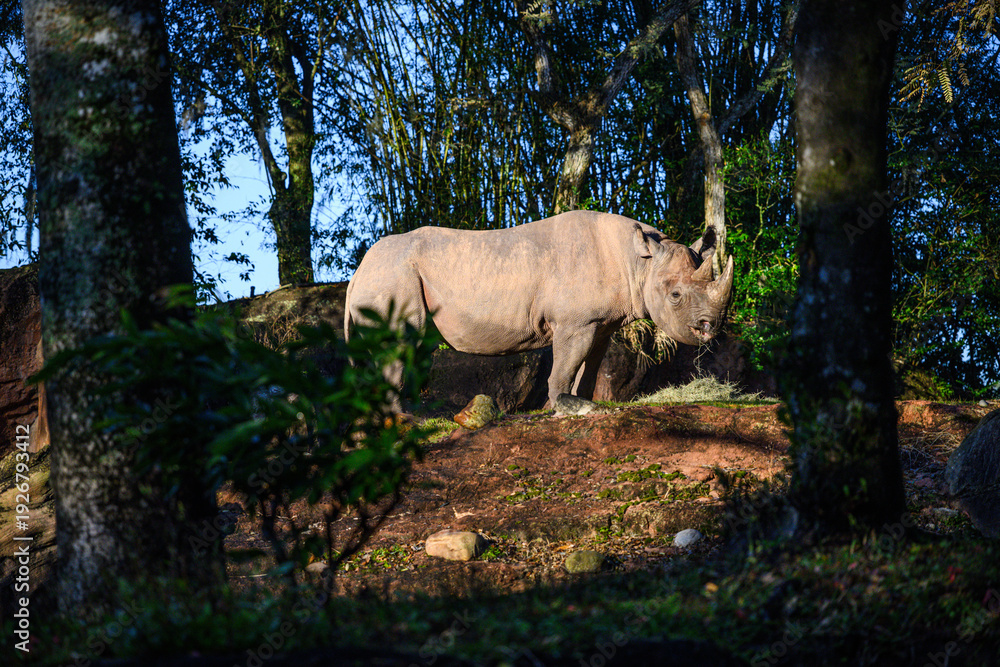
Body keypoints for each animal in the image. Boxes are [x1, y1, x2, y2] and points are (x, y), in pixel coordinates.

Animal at [344, 210, 734, 405]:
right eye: (676, 295)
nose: (710, 326)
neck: (639, 262)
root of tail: (357, 272)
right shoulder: (574, 322)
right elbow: (563, 368)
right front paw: (559, 408)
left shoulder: (599, 323)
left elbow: (588, 370)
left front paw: (581, 404)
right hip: (392, 275)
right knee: (400, 342)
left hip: (387, 274)